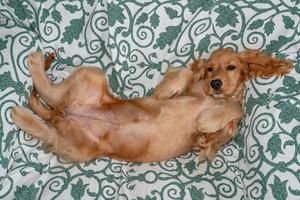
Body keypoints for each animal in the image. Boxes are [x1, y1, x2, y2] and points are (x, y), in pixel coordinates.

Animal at [154, 47, 292, 159]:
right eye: (209, 69)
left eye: (231, 67)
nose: (215, 83)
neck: (219, 98)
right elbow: (186, 72)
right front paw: (162, 93)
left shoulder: (231, 123)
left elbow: (236, 110)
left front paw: (207, 122)